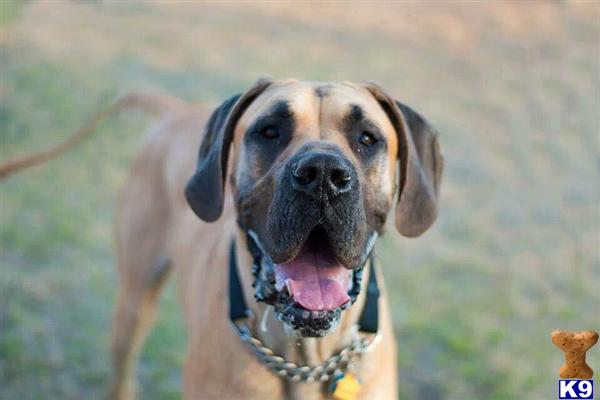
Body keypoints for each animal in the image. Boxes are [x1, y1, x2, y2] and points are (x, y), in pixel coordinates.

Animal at [1, 79, 440, 400]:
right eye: (269, 131)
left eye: (367, 138)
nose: (323, 176)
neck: (303, 360)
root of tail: (177, 111)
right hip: (134, 302)